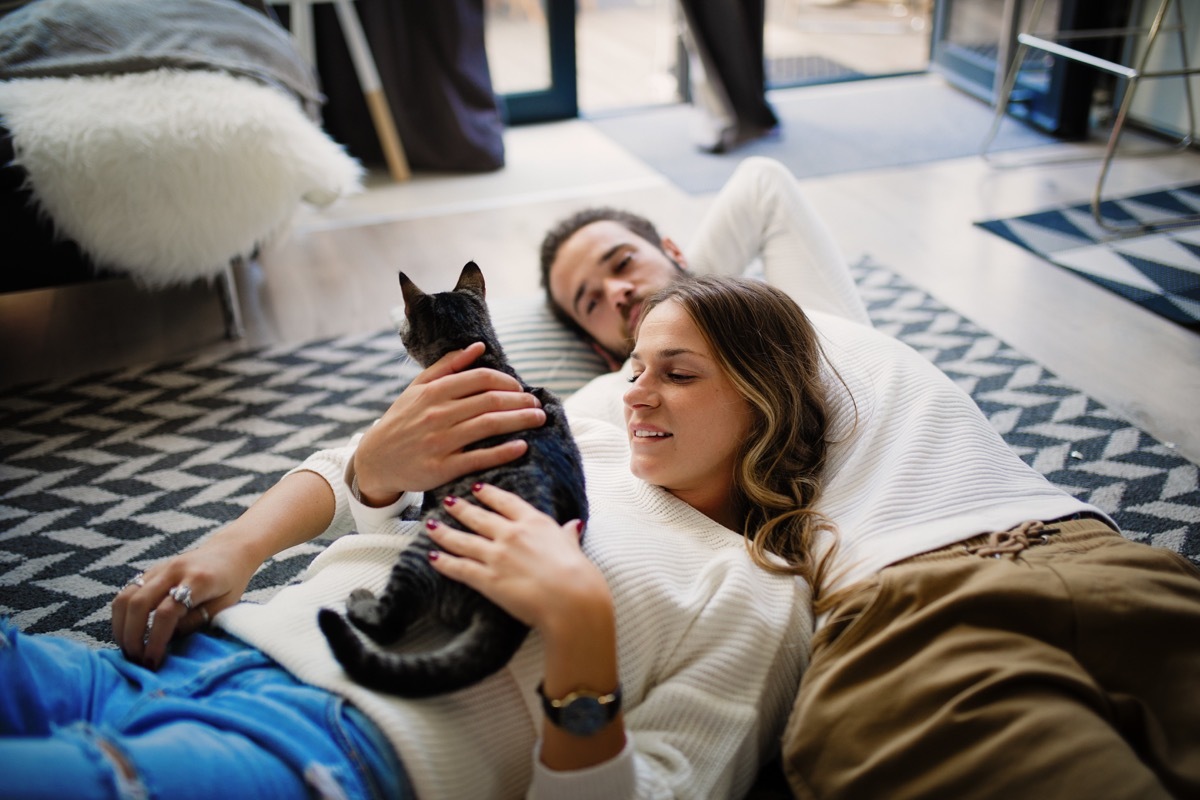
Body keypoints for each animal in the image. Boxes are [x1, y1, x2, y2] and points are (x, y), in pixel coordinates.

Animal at [314, 263, 585, 700]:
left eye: (405, 326)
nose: (400, 334)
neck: (482, 356)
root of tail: (507, 611)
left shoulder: (435, 477)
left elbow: (423, 498)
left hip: (429, 549)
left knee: (390, 625)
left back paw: (359, 602)